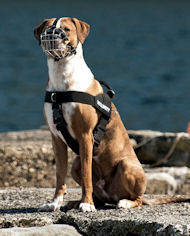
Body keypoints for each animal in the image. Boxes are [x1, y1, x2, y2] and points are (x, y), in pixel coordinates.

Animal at [33, 17, 189, 212]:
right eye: (46, 29)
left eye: (67, 29)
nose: (52, 36)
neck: (62, 75)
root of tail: (112, 196)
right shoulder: (56, 139)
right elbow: (60, 175)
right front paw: (55, 202)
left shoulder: (85, 136)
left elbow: (86, 176)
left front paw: (86, 204)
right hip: (76, 163)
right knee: (98, 195)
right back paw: (76, 202)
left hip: (127, 165)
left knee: (136, 198)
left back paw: (122, 202)